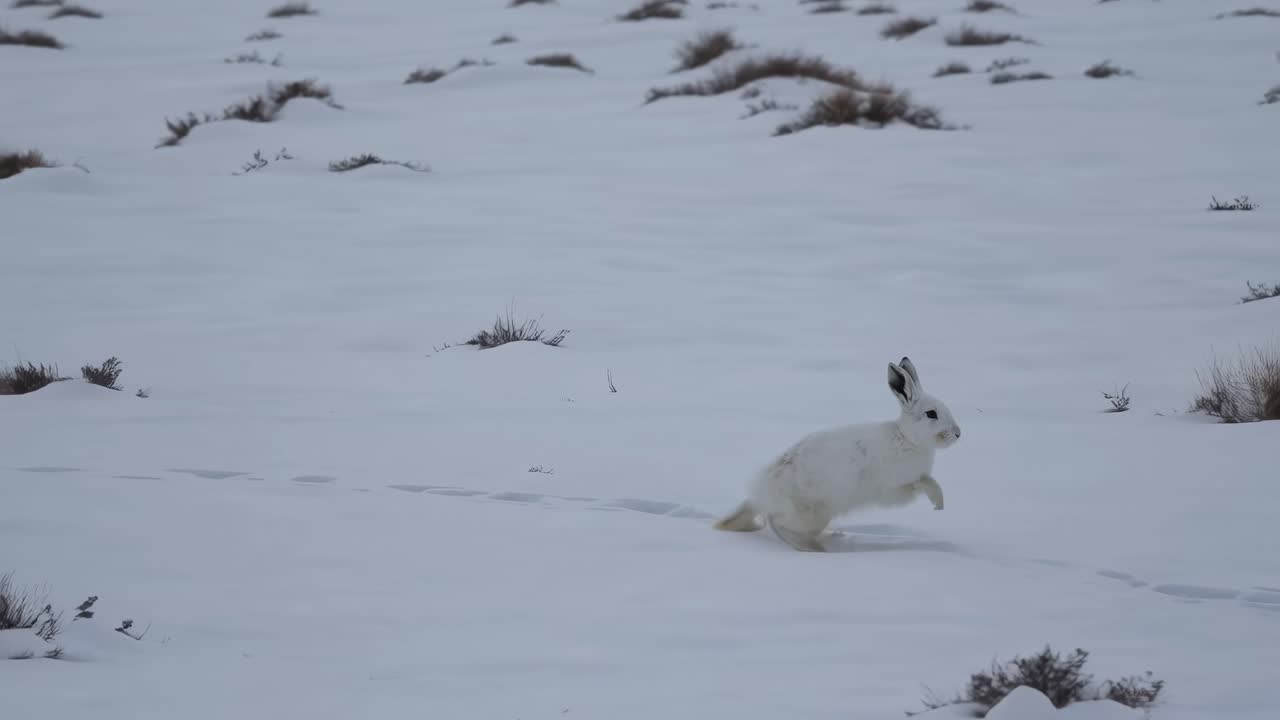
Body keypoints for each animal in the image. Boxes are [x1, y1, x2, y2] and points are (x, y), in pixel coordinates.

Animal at [714, 356, 960, 552]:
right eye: (931, 414)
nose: (958, 433)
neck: (907, 438)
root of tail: (760, 492)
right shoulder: (897, 487)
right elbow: (925, 482)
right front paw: (938, 503)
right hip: (808, 513)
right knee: (776, 522)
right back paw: (813, 549)